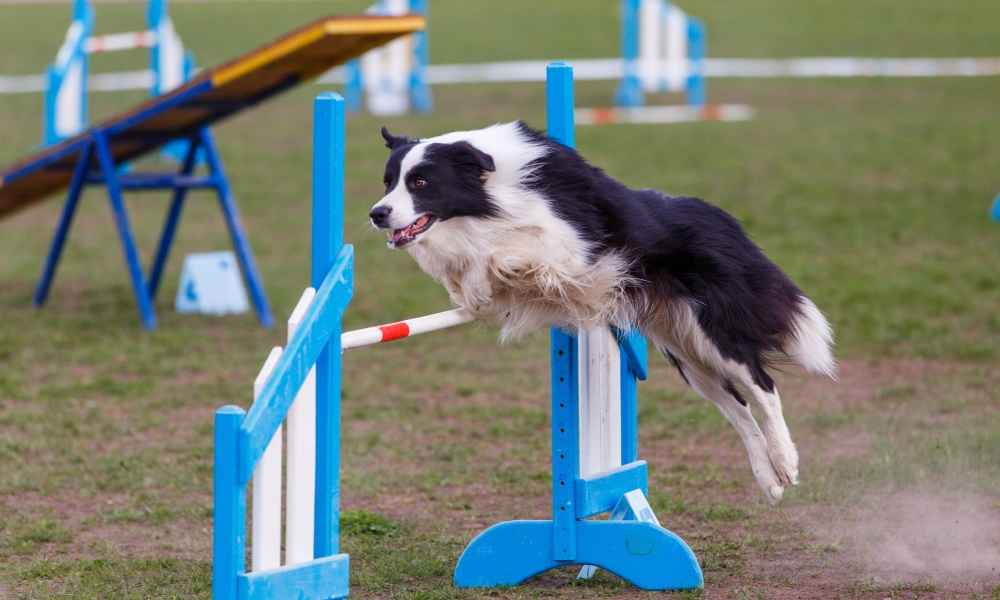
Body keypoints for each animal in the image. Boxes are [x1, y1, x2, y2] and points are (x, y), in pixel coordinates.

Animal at [372, 120, 832, 502]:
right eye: (388, 182)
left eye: (421, 181)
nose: (377, 214)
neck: (488, 191)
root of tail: (722, 220)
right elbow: (472, 270)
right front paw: (473, 287)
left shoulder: (575, 246)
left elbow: (511, 249)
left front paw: (496, 271)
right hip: (687, 355)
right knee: (737, 410)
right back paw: (769, 480)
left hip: (713, 332)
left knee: (763, 387)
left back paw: (786, 463)